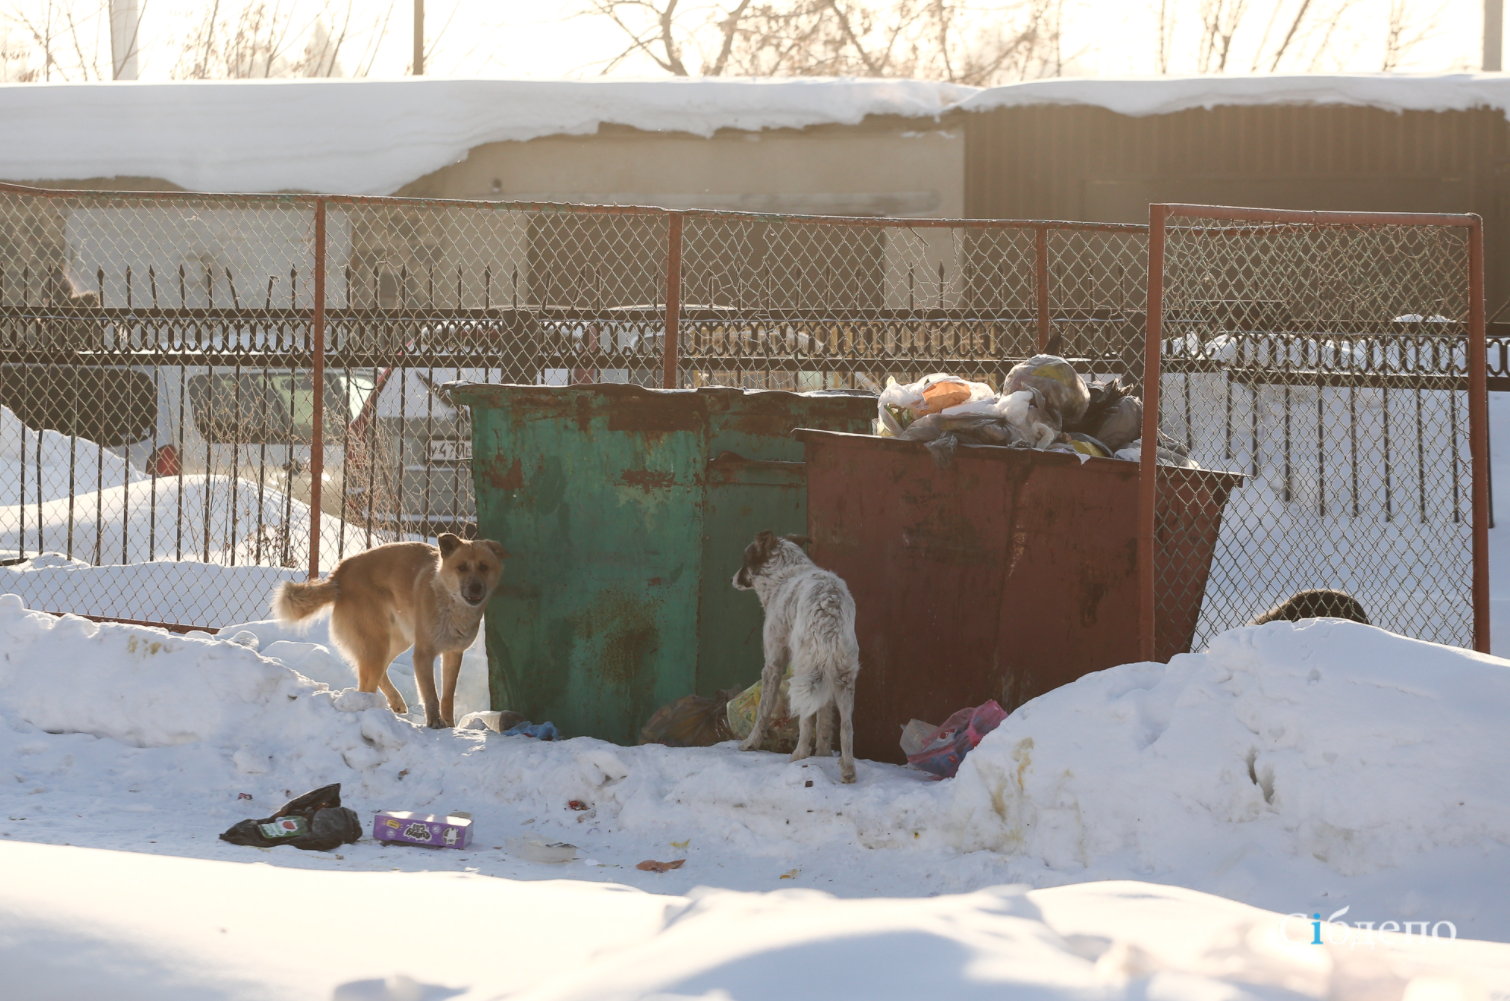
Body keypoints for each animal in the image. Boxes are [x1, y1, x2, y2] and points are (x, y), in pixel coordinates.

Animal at [273, 537, 507, 724]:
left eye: (484, 567)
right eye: (461, 568)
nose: (476, 588)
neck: (450, 604)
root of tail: (340, 572)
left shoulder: (454, 653)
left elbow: (447, 696)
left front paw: (450, 726)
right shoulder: (423, 655)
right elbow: (431, 695)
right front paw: (435, 724)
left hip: (395, 641)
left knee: (380, 672)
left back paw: (395, 702)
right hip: (377, 643)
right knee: (367, 683)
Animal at [733, 531, 863, 785]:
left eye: (746, 559)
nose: (733, 579)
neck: (783, 575)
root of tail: (829, 606)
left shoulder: (773, 663)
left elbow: (764, 710)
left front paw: (751, 743)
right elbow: (825, 722)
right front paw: (823, 754)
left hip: (804, 673)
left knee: (805, 720)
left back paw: (799, 756)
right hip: (842, 677)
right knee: (847, 727)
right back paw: (848, 770)